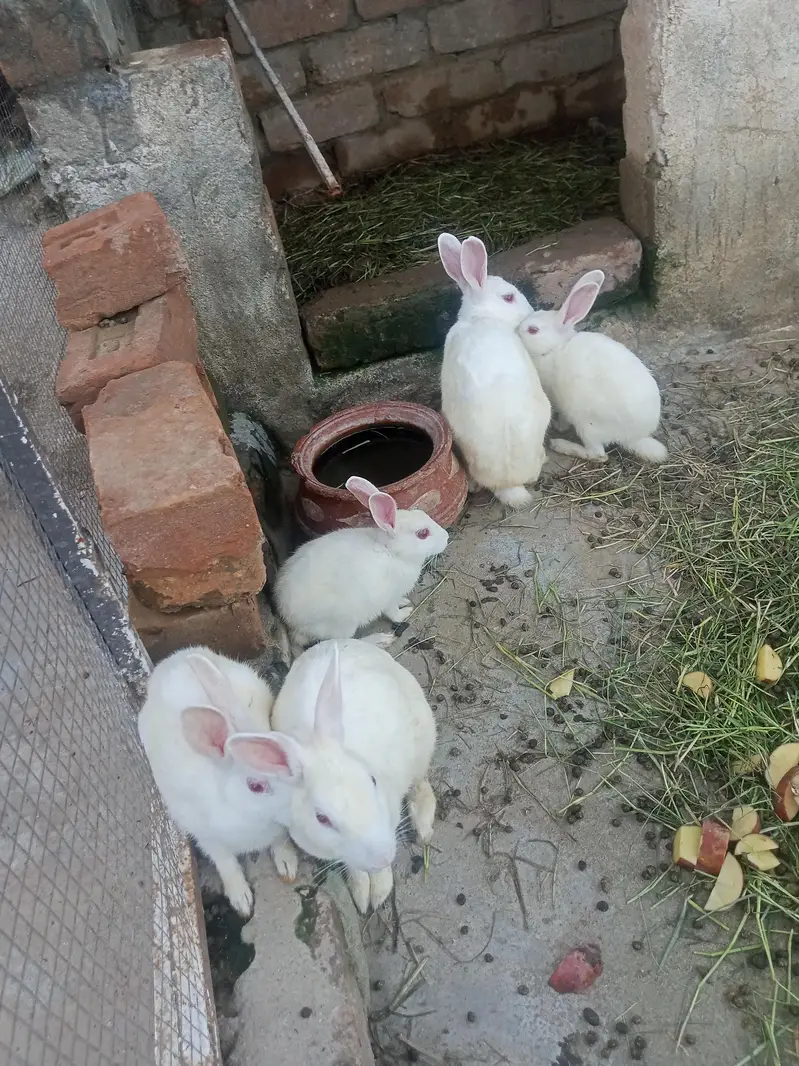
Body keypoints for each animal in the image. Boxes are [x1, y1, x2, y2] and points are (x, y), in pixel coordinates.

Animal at [137, 646, 298, 917]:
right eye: (255, 786)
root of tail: (169, 662)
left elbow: (279, 841)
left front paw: (287, 864)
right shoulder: (207, 837)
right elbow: (226, 863)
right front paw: (241, 900)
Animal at [233, 638, 437, 913]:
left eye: (372, 780)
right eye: (322, 818)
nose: (383, 855)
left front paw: (379, 892)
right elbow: (354, 866)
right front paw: (362, 894)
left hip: (422, 737)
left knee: (421, 784)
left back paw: (423, 827)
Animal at [274, 476, 448, 653]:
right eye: (423, 533)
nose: (446, 537)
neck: (391, 551)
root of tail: (291, 623)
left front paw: (404, 601)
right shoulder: (388, 599)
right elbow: (393, 613)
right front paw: (406, 612)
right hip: (343, 623)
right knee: (344, 640)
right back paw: (380, 640)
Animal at [517, 270, 667, 464]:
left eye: (533, 330)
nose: (515, 330)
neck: (556, 348)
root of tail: (633, 437)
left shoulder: (561, 402)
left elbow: (563, 419)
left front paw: (558, 426)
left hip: (587, 426)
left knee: (598, 454)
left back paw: (561, 445)